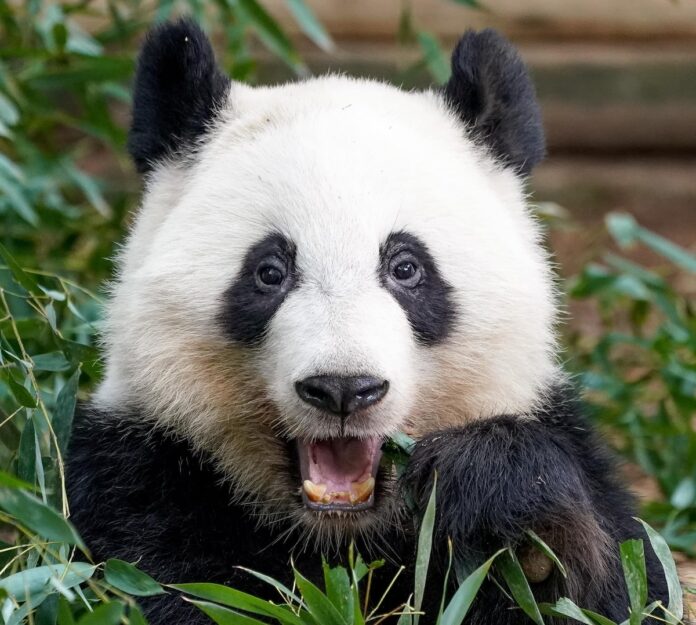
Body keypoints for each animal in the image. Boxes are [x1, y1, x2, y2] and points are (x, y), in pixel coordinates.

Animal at [66, 19, 668, 625]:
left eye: (406, 267)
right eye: (269, 272)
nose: (342, 389)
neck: (346, 536)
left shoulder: (559, 433)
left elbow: (621, 589)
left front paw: (515, 524)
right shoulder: (141, 469)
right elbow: (169, 583)